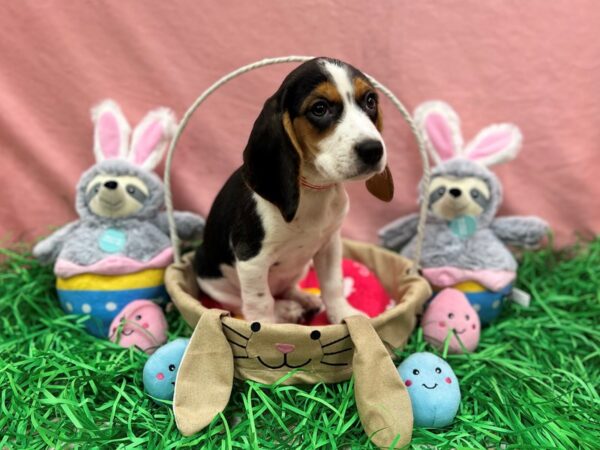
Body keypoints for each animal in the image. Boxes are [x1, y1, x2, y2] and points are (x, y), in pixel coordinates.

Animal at [195, 58, 394, 324]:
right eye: (319, 108)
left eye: (371, 101)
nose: (373, 150)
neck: (314, 190)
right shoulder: (251, 260)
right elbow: (260, 302)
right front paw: (264, 327)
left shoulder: (330, 244)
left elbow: (332, 284)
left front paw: (343, 315)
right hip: (213, 279)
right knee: (243, 303)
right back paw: (286, 310)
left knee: (287, 288)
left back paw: (304, 299)